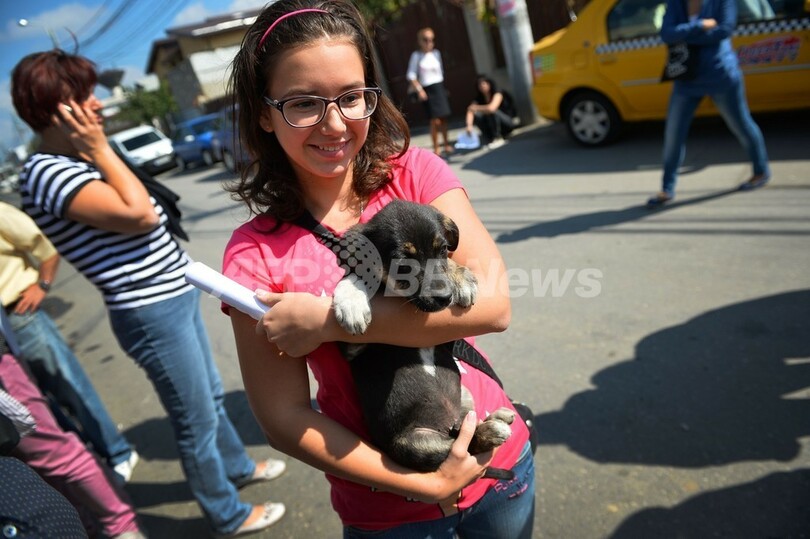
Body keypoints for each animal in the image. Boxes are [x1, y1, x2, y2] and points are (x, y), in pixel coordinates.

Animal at [328, 200, 512, 478]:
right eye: (403, 263)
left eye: (443, 249)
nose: (445, 298)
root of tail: (447, 424)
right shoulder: (352, 347)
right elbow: (358, 276)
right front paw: (350, 301)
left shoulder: (448, 337)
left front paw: (461, 278)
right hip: (412, 443)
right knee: (459, 445)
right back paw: (491, 429)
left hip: (464, 397)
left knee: (465, 426)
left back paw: (496, 418)